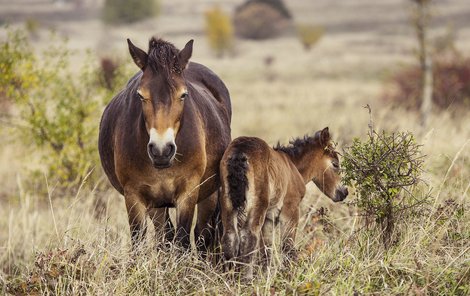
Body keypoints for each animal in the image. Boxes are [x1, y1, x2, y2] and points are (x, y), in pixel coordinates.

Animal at [98, 36, 231, 250]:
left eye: (183, 94)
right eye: (141, 95)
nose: (161, 150)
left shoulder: (188, 193)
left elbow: (183, 240)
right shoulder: (134, 197)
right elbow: (140, 242)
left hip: (208, 194)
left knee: (202, 235)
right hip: (156, 205)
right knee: (165, 235)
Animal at [219, 126, 346, 278]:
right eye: (335, 164)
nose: (344, 192)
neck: (292, 166)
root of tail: (240, 152)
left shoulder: (270, 218)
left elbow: (266, 249)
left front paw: (265, 275)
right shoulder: (290, 211)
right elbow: (287, 246)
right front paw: (289, 274)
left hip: (227, 203)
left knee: (230, 236)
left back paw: (228, 277)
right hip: (258, 204)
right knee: (249, 236)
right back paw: (246, 278)